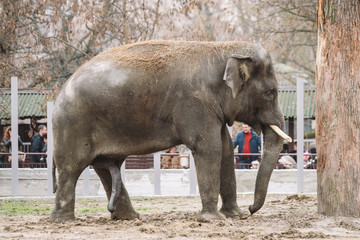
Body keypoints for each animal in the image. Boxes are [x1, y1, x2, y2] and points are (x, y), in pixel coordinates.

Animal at [49, 40, 290, 222]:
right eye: (270, 92)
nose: (251, 209)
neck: (221, 48)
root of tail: (60, 93)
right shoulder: (194, 102)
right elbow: (209, 147)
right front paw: (213, 220)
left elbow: (225, 149)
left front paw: (234, 216)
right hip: (73, 125)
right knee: (71, 168)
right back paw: (64, 221)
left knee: (105, 167)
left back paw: (129, 218)